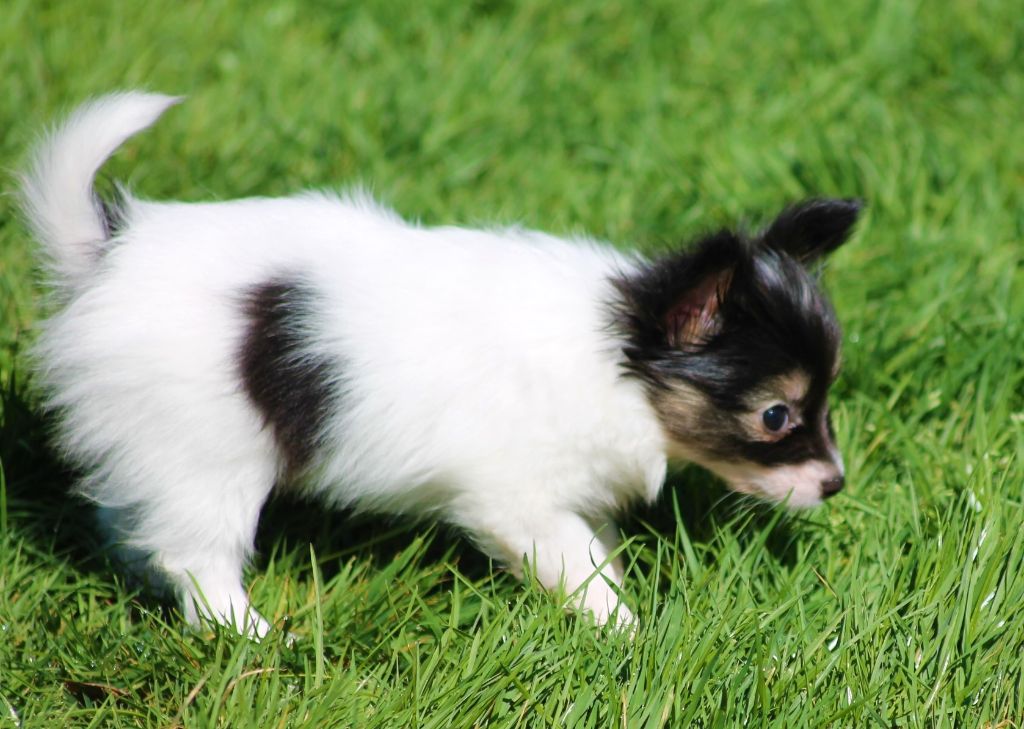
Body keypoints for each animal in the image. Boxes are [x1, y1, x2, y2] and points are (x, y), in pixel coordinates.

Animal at [19, 94, 860, 634]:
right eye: (776, 414)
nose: (836, 483)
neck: (620, 352)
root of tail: (107, 255)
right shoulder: (516, 501)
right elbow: (577, 564)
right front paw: (624, 628)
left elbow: (597, 551)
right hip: (210, 457)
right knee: (198, 560)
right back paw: (251, 636)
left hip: (155, 442)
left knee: (132, 517)